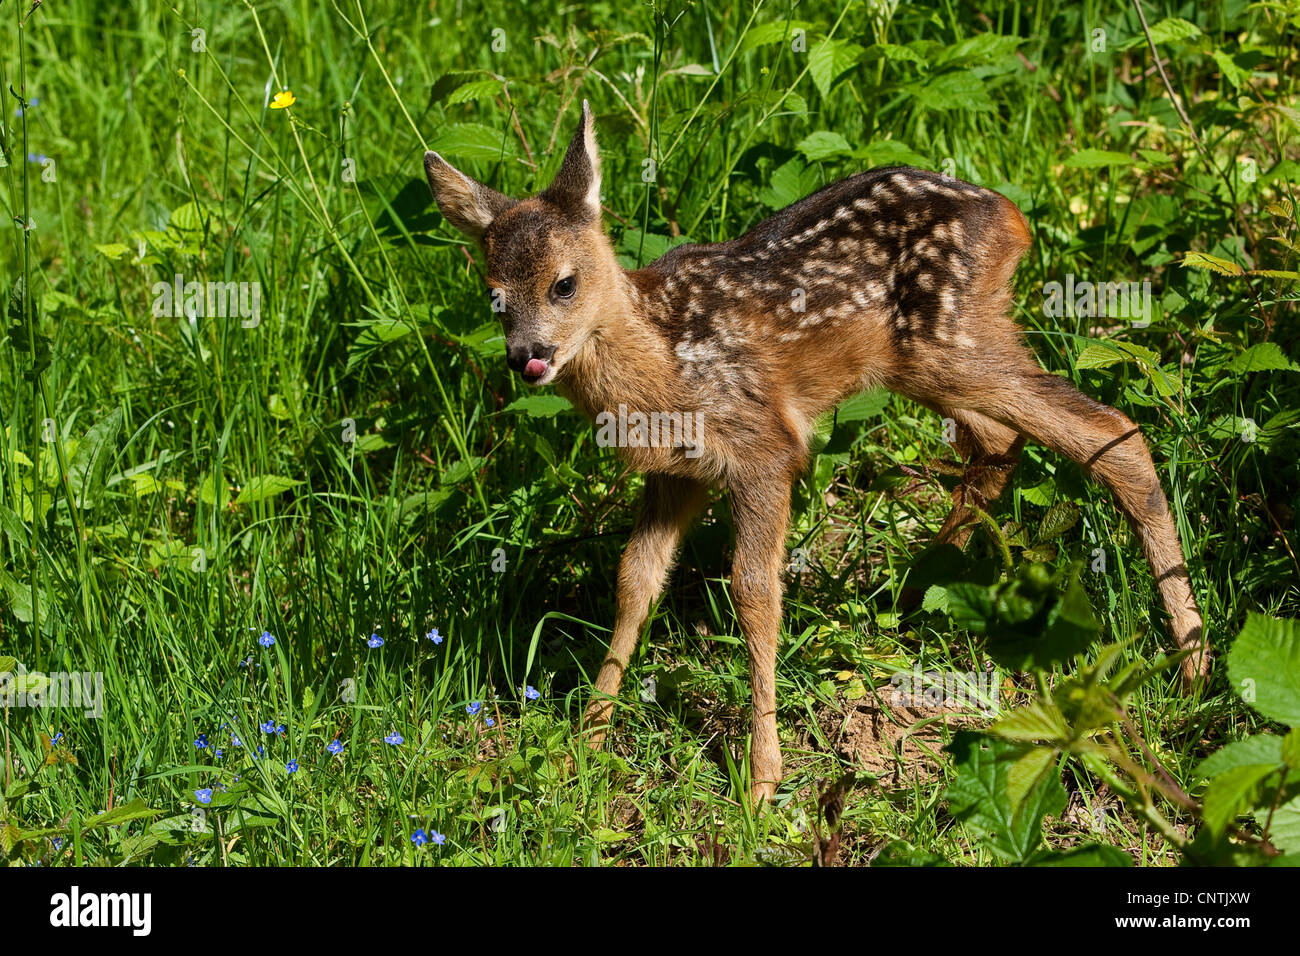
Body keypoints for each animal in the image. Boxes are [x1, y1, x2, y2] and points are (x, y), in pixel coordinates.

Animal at [423, 101, 1208, 805]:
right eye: (493, 296)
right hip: (924, 362)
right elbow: (634, 582)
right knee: (1001, 440)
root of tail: (1013, 215)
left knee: (1114, 433)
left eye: (564, 283)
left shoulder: (763, 450)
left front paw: (762, 779)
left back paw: (1193, 661)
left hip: (951, 341)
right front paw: (585, 739)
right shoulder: (676, 477)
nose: (528, 357)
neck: (661, 364)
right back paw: (916, 590)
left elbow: (753, 592)